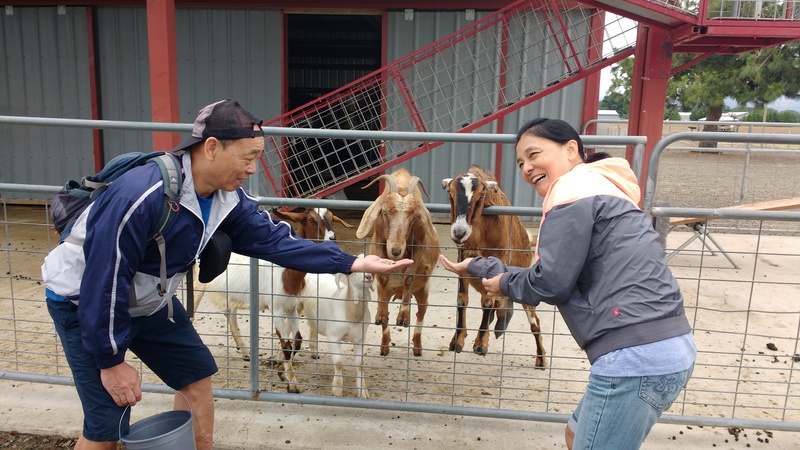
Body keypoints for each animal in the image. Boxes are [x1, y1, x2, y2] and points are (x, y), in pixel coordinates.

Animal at [358, 167, 440, 356]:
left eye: (414, 217)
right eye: (385, 213)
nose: (396, 251)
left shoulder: (418, 247)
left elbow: (408, 277)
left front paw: (403, 317)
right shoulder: (379, 243)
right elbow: (381, 277)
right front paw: (380, 315)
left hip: (423, 291)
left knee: (421, 314)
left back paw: (417, 348)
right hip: (389, 293)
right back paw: (384, 346)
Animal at [440, 165, 548, 370]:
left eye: (481, 195)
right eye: (450, 193)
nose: (459, 232)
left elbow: (488, 303)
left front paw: (480, 344)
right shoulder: (462, 260)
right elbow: (462, 299)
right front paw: (457, 340)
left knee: (535, 322)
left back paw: (541, 359)